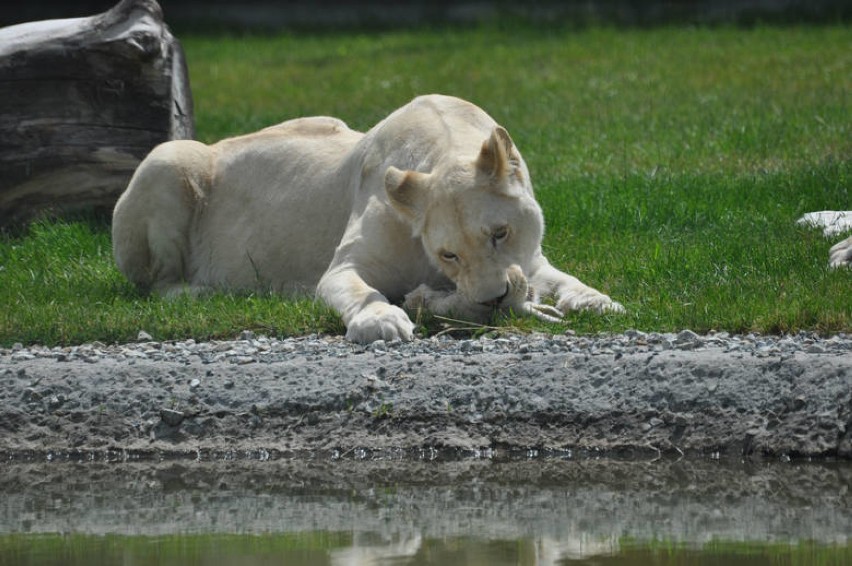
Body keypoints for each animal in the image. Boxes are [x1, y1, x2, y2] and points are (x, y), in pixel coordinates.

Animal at [111, 94, 620, 342]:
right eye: (449, 254)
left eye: (499, 233)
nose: (494, 300)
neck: (447, 141)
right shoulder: (345, 266)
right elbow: (360, 290)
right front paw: (383, 321)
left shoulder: (530, 260)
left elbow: (565, 280)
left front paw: (600, 302)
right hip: (168, 157)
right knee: (157, 285)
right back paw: (209, 291)